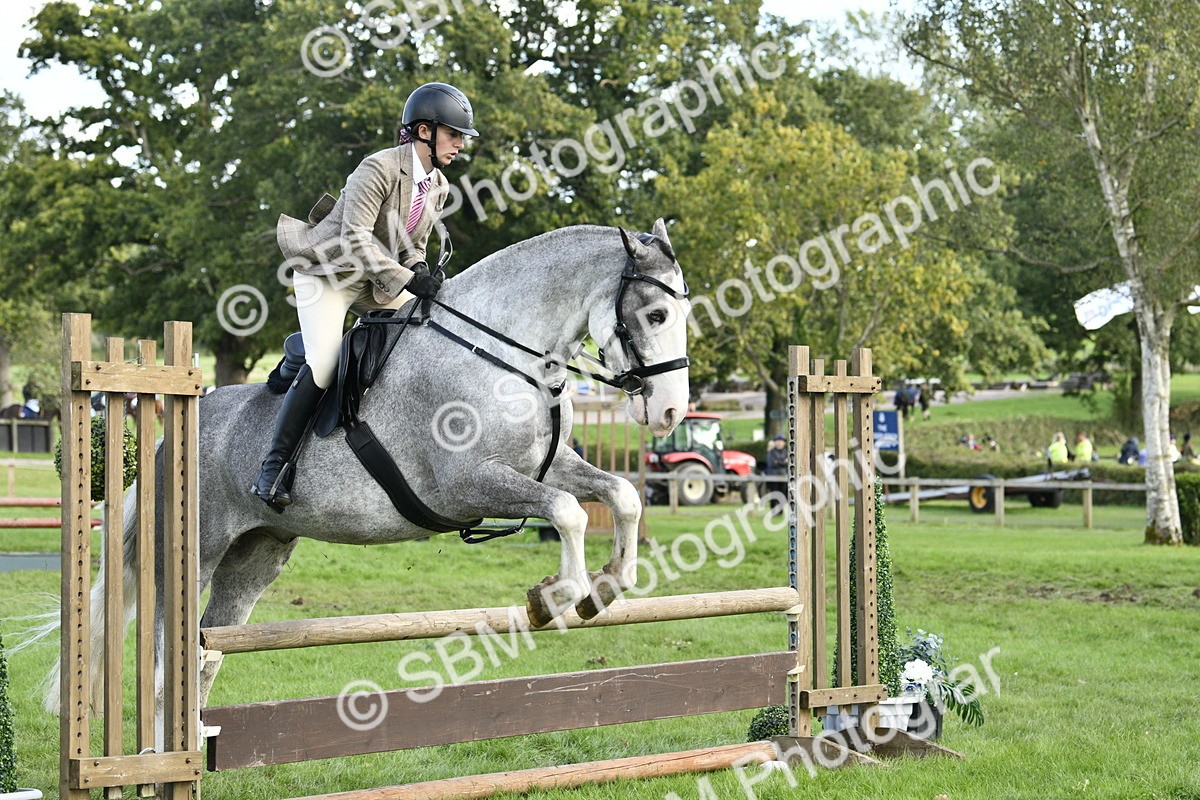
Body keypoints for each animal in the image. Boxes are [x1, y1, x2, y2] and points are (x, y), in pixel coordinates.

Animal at [40, 220, 691, 713]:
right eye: (657, 314)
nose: (669, 411)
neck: (502, 353)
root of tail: (170, 436)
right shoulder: (465, 486)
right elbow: (568, 512)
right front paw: (558, 595)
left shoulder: (540, 468)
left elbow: (619, 495)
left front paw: (610, 583)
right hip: (191, 554)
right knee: (164, 666)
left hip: (255, 555)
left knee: (209, 650)